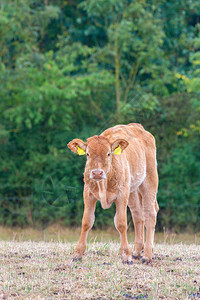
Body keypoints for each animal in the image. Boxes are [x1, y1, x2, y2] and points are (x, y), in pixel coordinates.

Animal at [68, 123, 159, 262]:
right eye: (88, 154)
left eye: (108, 154)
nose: (97, 173)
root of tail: (137, 126)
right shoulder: (88, 194)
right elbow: (86, 222)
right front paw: (78, 253)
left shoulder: (122, 195)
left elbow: (121, 223)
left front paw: (125, 255)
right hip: (132, 191)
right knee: (138, 215)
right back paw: (137, 251)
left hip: (149, 180)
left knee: (150, 214)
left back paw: (147, 255)